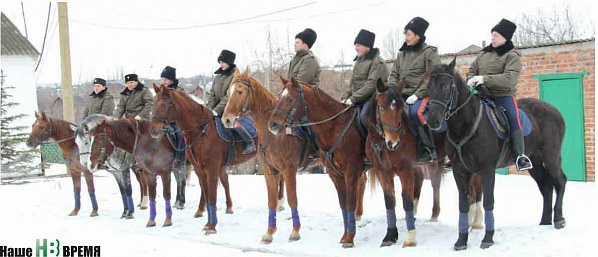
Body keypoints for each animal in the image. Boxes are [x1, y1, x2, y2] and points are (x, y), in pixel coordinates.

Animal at [150, 83, 255, 233]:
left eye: (164, 105)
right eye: (154, 103)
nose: (153, 130)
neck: (202, 131)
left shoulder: (211, 169)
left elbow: (211, 196)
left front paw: (211, 226)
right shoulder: (200, 169)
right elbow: (206, 192)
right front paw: (208, 222)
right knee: (225, 181)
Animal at [268, 77, 368, 247]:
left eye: (289, 99)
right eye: (279, 96)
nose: (272, 125)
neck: (335, 128)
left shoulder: (351, 172)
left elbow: (349, 202)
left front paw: (349, 238)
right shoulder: (335, 175)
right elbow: (343, 204)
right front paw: (345, 236)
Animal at [426, 57, 568, 248]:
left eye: (445, 86)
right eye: (429, 87)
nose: (432, 121)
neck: (466, 126)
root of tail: (555, 110)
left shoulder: (487, 170)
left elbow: (488, 202)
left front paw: (488, 238)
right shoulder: (460, 171)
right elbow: (463, 204)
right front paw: (461, 241)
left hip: (551, 157)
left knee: (560, 181)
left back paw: (559, 219)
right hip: (535, 163)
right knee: (545, 187)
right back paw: (544, 222)